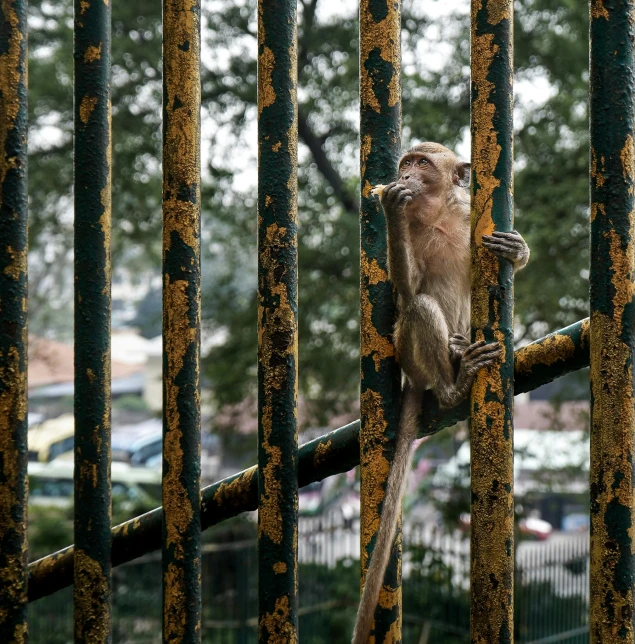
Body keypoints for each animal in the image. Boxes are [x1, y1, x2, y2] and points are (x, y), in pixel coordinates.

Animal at [352, 142, 532, 644]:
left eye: (422, 164)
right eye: (406, 163)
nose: (406, 174)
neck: (433, 214)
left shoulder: (470, 213)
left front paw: (517, 250)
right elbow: (409, 289)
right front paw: (391, 208)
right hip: (413, 359)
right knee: (419, 307)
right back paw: (454, 383)